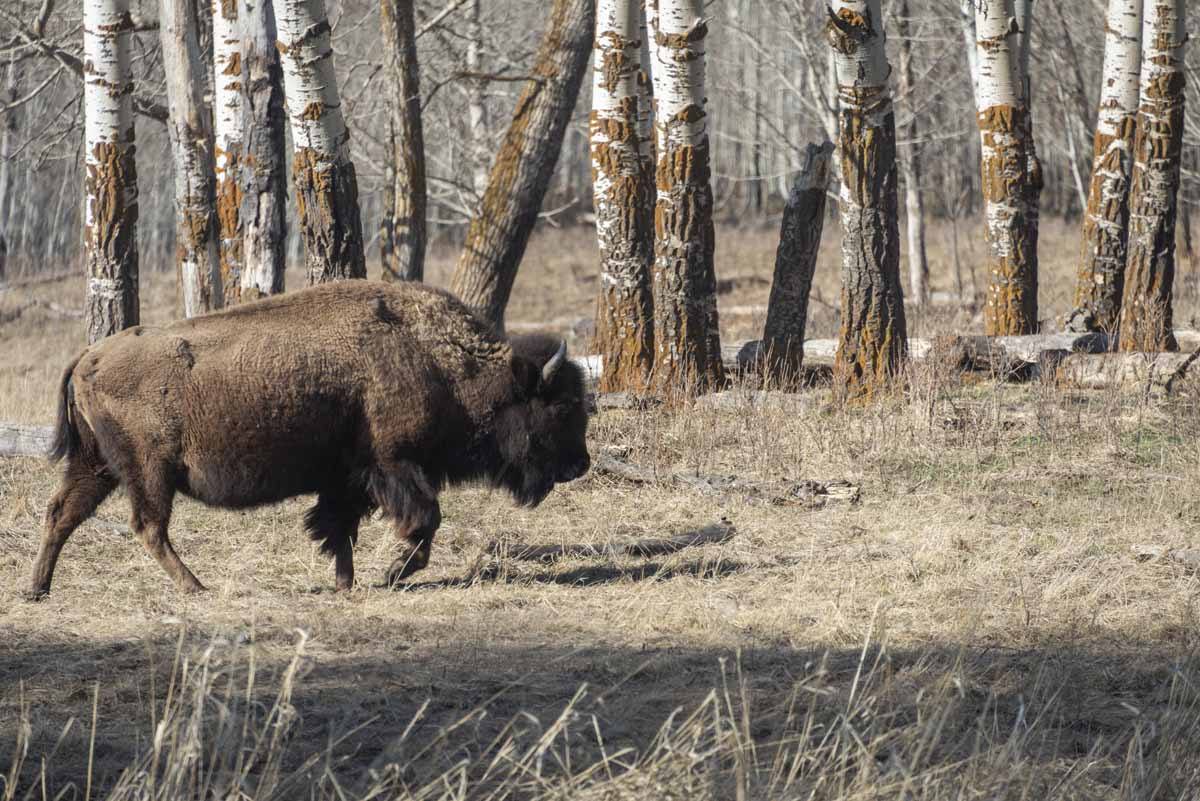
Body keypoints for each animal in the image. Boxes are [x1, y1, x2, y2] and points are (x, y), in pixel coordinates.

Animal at [28, 280, 590, 594]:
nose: (580, 465)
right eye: (561, 407)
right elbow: (424, 520)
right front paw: (391, 574)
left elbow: (338, 529)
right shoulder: (393, 464)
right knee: (147, 526)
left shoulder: (346, 479)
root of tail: (88, 356)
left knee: (63, 514)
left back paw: (38, 589)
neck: (439, 361)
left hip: (98, 466)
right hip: (148, 470)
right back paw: (196, 588)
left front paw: (347, 583)